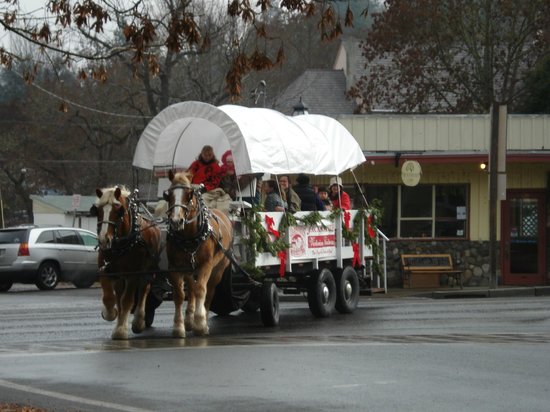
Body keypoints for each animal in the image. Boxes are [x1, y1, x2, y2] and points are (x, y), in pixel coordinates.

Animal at [95, 187, 162, 342]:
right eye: (98, 210)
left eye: (118, 210)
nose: (104, 240)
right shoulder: (105, 270)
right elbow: (109, 298)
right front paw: (110, 314)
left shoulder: (133, 275)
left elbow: (127, 300)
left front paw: (120, 331)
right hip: (121, 277)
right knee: (119, 295)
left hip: (147, 272)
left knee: (144, 290)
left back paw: (138, 321)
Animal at [164, 169, 233, 336]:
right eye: (168, 194)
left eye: (189, 194)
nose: (176, 221)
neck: (189, 237)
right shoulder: (175, 267)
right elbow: (180, 294)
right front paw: (179, 326)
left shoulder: (206, 265)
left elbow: (202, 290)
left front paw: (200, 323)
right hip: (190, 269)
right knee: (192, 290)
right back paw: (190, 319)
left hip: (218, 269)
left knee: (209, 291)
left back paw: (203, 319)